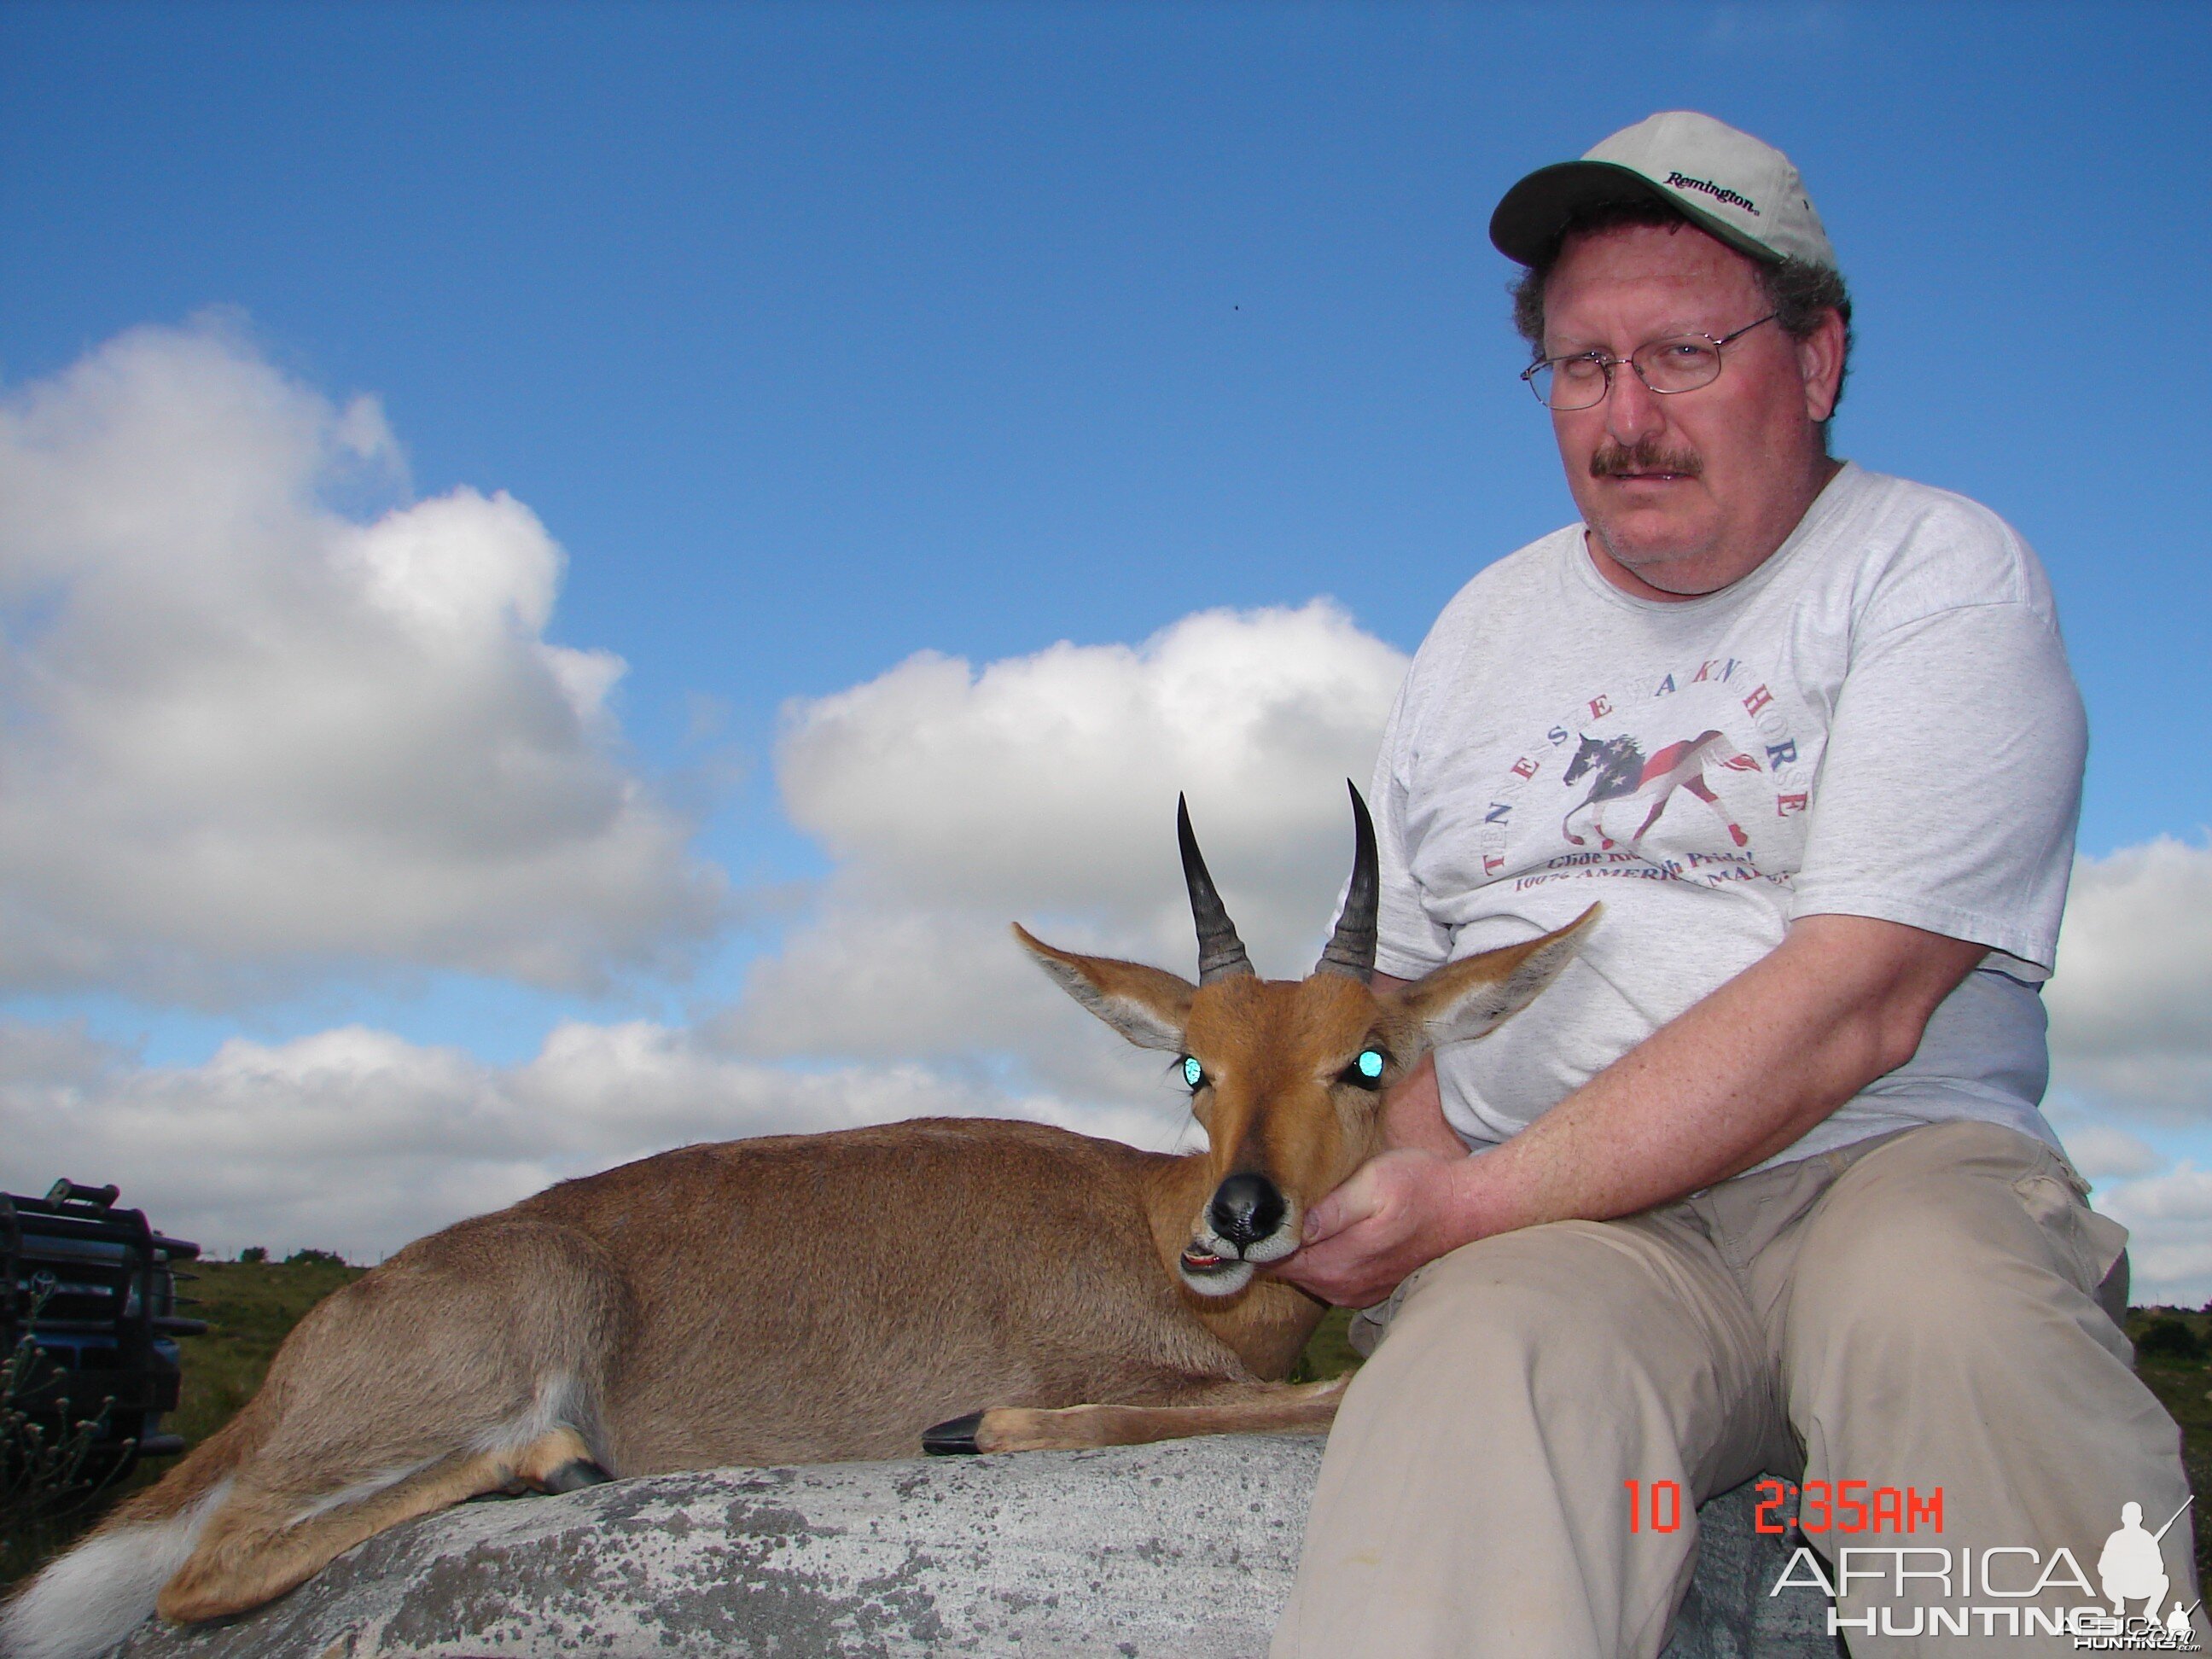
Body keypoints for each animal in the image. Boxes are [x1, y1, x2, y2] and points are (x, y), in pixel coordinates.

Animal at [0, 787, 1592, 1659]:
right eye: (1189, 1063)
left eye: (1367, 1058)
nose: (1242, 1214)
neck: (1148, 1227)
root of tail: (299, 1357)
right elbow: (1321, 1387)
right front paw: (969, 1426)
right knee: (207, 1564)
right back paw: (547, 1464)